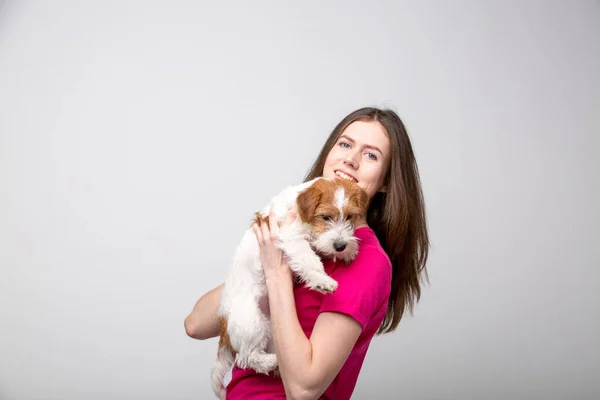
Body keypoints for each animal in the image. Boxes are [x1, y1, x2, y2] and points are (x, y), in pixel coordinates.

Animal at [211, 178, 370, 400]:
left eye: (349, 216)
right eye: (326, 217)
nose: (340, 246)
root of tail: (224, 329)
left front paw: (348, 250)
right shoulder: (291, 238)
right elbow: (309, 259)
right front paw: (322, 279)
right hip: (252, 321)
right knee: (247, 357)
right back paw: (272, 361)